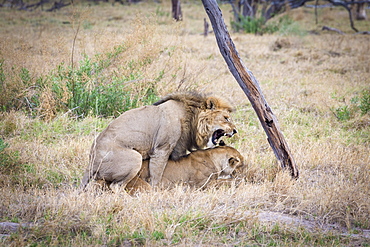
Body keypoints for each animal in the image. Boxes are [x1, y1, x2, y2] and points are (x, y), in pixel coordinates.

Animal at [80, 91, 237, 190]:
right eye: (226, 118)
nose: (235, 131)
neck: (191, 117)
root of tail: (91, 162)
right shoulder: (161, 149)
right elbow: (157, 174)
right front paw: (157, 192)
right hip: (135, 158)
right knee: (115, 186)